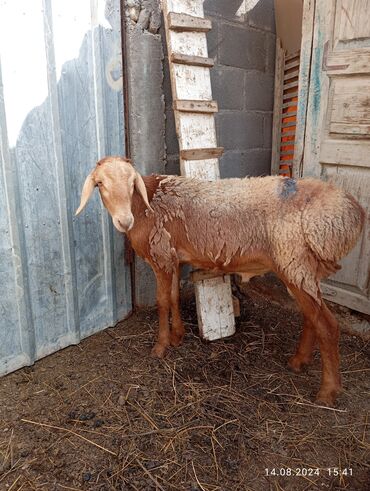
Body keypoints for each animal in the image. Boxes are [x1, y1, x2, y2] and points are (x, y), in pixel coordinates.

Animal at [75, 156, 364, 406]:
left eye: (131, 182)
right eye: (100, 184)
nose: (124, 221)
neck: (144, 205)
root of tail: (353, 212)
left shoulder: (161, 256)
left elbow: (162, 301)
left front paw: (160, 346)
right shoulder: (174, 258)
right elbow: (174, 297)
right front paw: (178, 336)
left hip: (294, 261)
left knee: (327, 325)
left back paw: (327, 391)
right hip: (300, 268)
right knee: (311, 317)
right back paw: (298, 361)